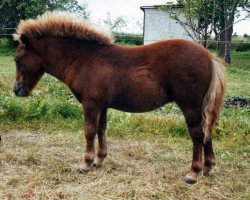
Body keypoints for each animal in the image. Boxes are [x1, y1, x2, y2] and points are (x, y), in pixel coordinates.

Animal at [12, 12, 226, 184]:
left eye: (17, 59)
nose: (16, 90)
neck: (83, 59)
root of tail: (209, 57)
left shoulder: (90, 104)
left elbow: (89, 131)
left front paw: (85, 163)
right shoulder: (102, 105)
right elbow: (101, 130)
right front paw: (99, 160)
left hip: (190, 106)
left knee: (197, 134)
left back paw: (193, 173)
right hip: (200, 107)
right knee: (206, 131)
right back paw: (208, 167)